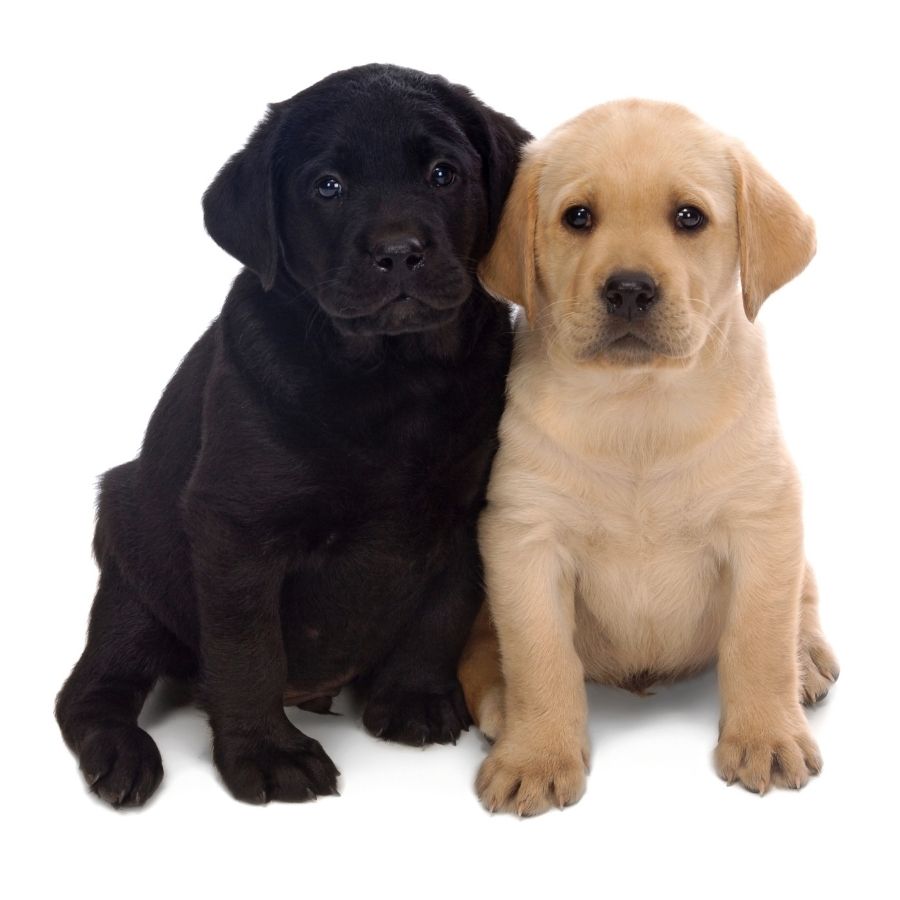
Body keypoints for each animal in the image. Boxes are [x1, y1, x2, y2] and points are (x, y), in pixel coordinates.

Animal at [56, 65, 532, 808]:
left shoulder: (467, 510)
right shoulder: (235, 530)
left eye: (443, 174)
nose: (399, 252)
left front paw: (415, 696)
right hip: (133, 571)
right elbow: (248, 650)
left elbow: (443, 610)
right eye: (327, 187)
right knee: (91, 688)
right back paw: (123, 754)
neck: (395, 378)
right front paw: (266, 752)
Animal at [460, 100, 840, 816]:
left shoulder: (763, 519)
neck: (639, 408)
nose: (629, 289)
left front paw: (766, 736)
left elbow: (759, 639)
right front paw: (537, 755)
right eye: (578, 217)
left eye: (688, 217)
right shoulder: (523, 535)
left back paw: (807, 662)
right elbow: (540, 655)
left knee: (800, 603)